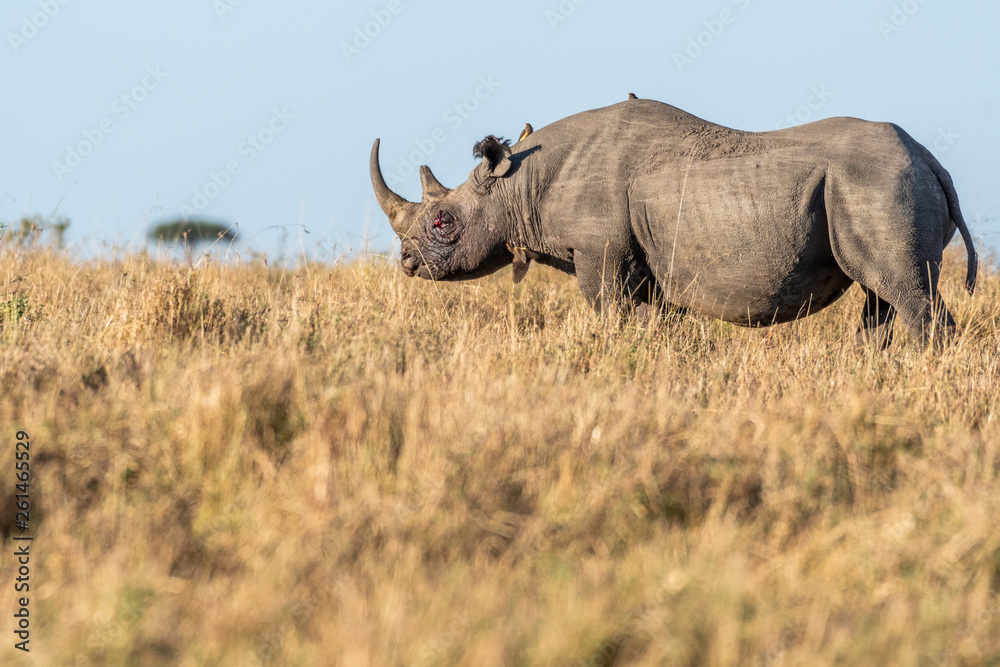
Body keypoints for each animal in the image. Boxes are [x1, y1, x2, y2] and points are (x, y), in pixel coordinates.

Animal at [370, 98, 977, 346]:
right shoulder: (642, 259)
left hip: (880, 182)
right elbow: (649, 321)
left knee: (908, 293)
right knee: (884, 296)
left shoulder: (599, 251)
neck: (520, 181)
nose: (406, 262)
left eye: (442, 221)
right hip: (877, 185)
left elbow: (609, 313)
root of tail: (932, 161)